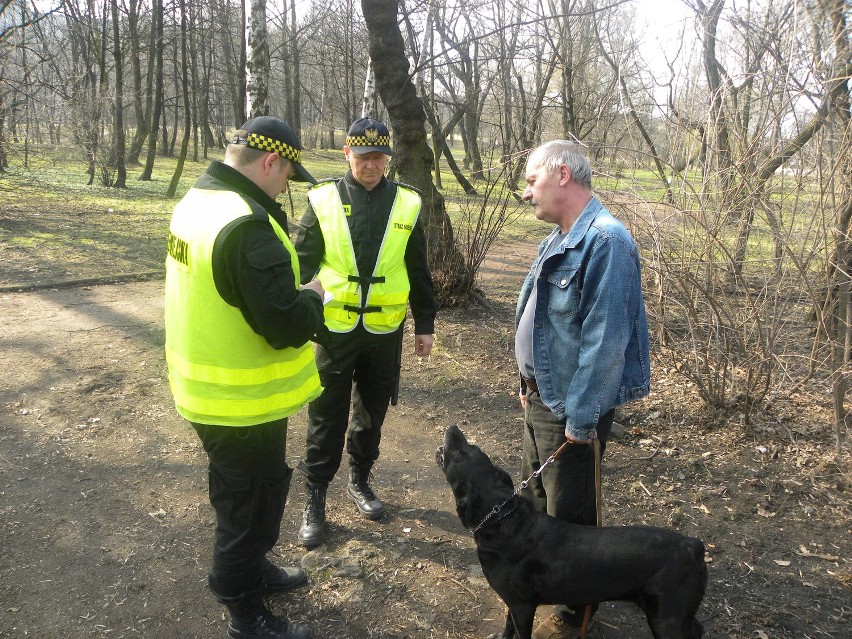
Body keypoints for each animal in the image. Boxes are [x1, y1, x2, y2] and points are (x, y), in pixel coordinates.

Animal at [436, 424, 704, 639]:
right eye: (472, 447)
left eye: (461, 452)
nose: (453, 428)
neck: (502, 519)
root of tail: (693, 546)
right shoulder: (512, 604)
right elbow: (507, 629)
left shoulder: (523, 607)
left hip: (667, 619)